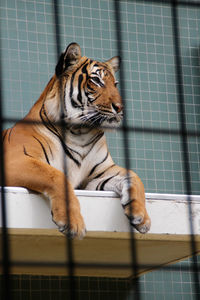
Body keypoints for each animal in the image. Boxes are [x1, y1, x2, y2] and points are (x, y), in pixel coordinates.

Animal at [2, 42, 150, 239]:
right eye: (97, 81)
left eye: (115, 84)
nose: (120, 108)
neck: (80, 133)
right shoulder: (16, 160)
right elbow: (55, 175)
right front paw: (73, 223)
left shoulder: (97, 175)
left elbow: (133, 175)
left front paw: (142, 217)